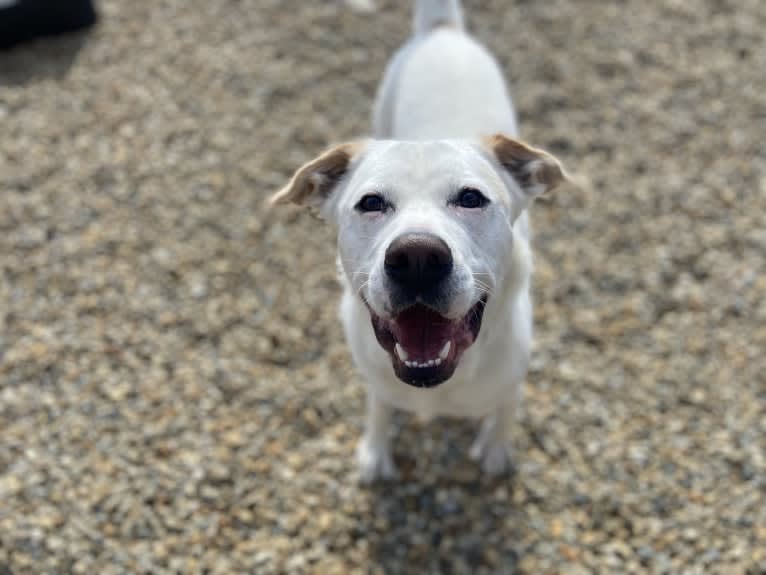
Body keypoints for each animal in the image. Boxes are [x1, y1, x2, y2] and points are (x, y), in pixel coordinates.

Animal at [272, 0, 568, 482]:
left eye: (471, 198)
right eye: (371, 203)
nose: (417, 257)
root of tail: (441, 31)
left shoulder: (512, 379)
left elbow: (504, 413)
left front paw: (496, 451)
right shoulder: (377, 378)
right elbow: (379, 406)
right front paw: (375, 453)